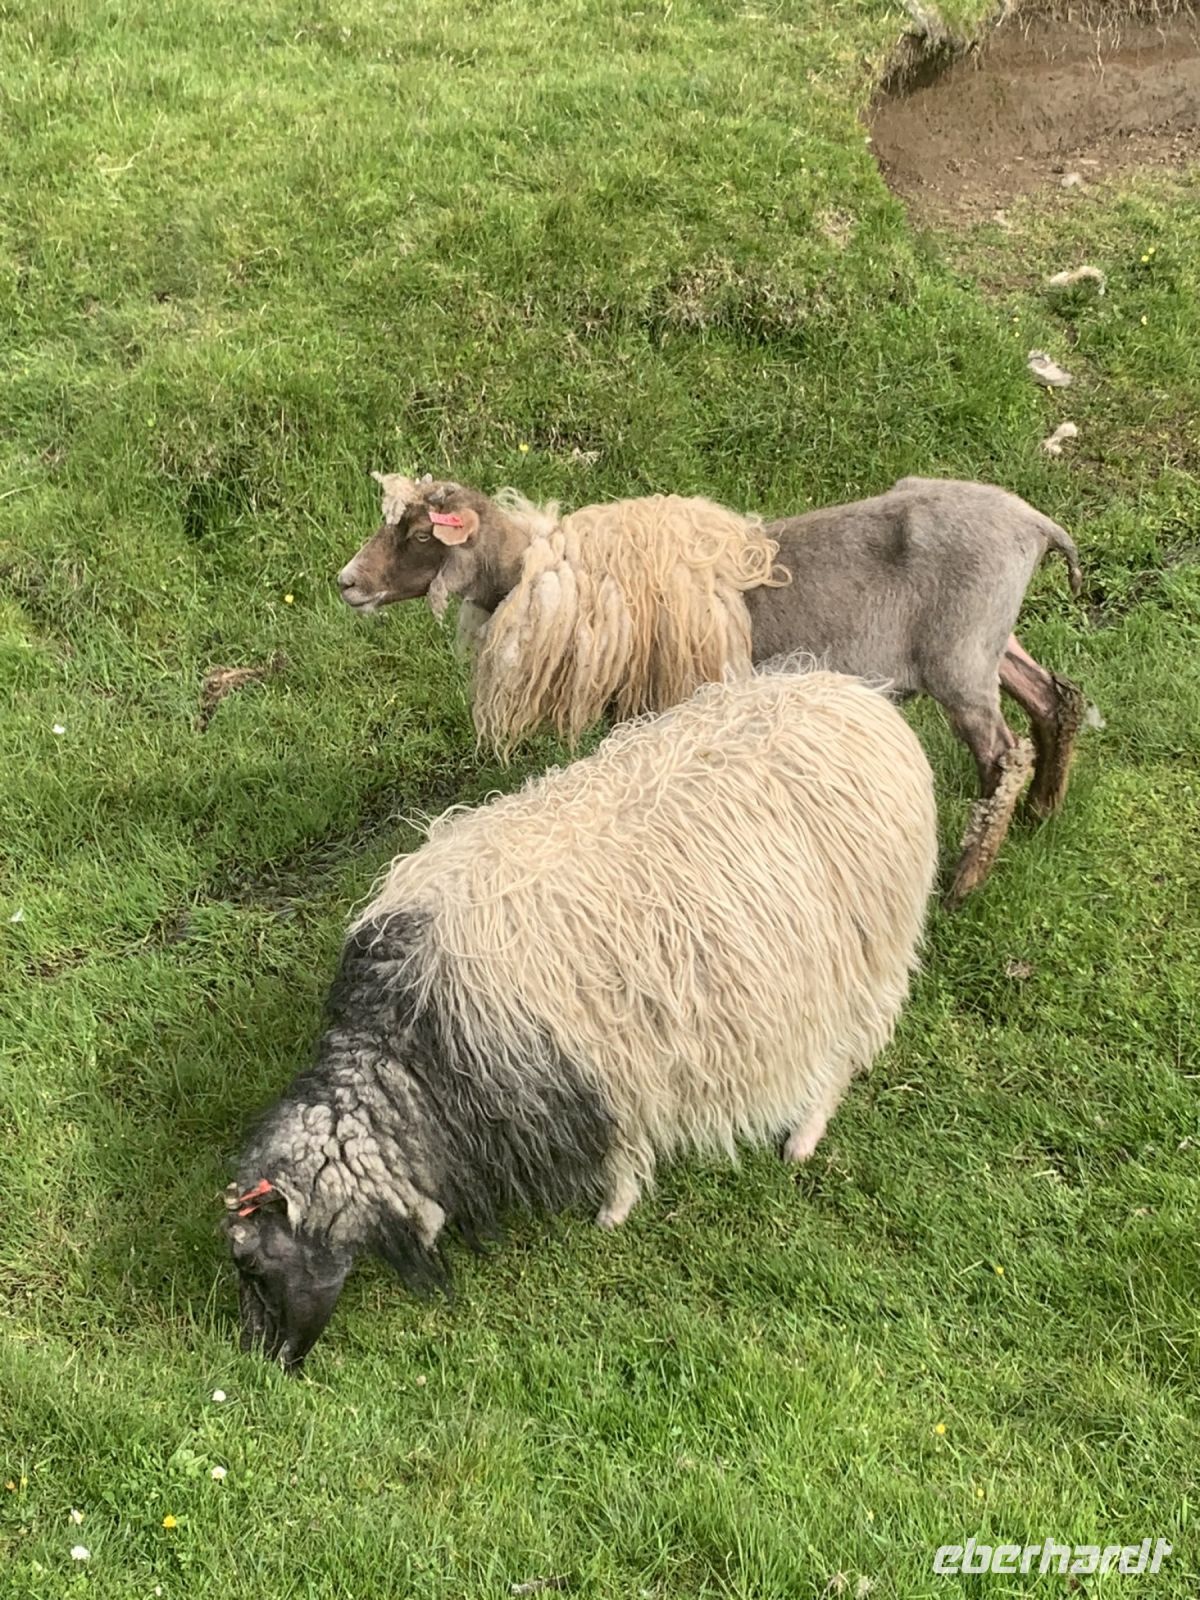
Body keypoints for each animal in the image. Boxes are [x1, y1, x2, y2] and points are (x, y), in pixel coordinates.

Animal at [226, 666, 938, 1370]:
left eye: (250, 1260)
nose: (269, 1360)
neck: (409, 1060)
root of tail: (863, 702)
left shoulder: (605, 1072)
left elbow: (623, 1153)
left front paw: (612, 1215)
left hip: (867, 959)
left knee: (842, 1057)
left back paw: (802, 1138)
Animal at [338, 472, 1086, 905]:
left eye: (417, 534)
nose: (346, 582)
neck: (551, 575)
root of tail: (1037, 525)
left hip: (959, 657)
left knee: (1002, 755)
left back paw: (965, 880)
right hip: (991, 643)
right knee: (1056, 697)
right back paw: (1045, 808)